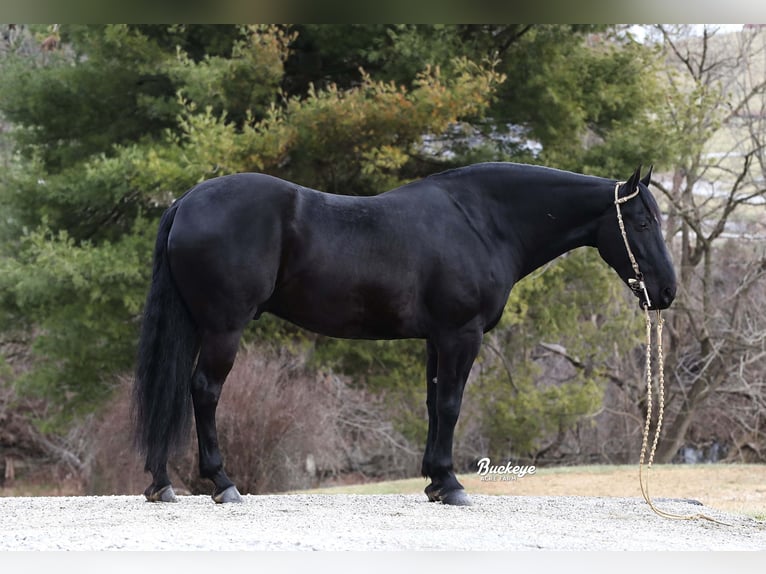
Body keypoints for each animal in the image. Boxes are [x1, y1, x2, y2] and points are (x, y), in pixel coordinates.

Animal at [134, 163, 680, 508]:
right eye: (642, 221)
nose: (667, 291)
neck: (482, 222)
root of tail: (186, 202)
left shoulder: (437, 339)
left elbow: (434, 403)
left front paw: (435, 481)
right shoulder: (461, 335)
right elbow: (451, 406)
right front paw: (451, 484)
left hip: (197, 326)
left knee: (171, 391)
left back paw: (161, 484)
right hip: (224, 328)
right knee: (204, 391)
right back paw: (222, 483)